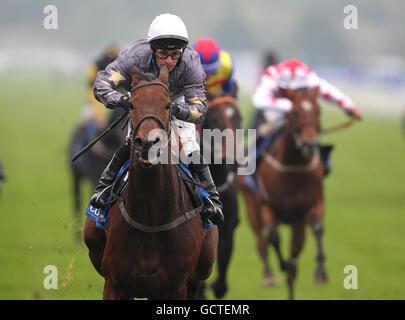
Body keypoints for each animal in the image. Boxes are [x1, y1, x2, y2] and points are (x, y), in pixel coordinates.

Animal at [238, 87, 326, 300]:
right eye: (294, 113)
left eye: (318, 111)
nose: (309, 144)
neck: (291, 170)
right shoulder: (266, 206)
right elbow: (273, 237)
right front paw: (282, 265)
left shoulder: (302, 214)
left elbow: (296, 259)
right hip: (251, 206)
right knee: (261, 242)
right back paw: (269, 275)